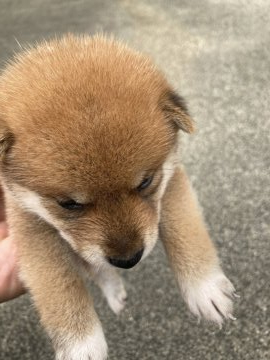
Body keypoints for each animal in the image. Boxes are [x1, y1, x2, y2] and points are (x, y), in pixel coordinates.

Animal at [0, 34, 234, 360]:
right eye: (68, 204)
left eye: (145, 182)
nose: (128, 259)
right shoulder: (30, 225)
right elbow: (57, 283)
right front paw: (81, 343)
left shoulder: (171, 181)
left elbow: (185, 231)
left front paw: (205, 288)